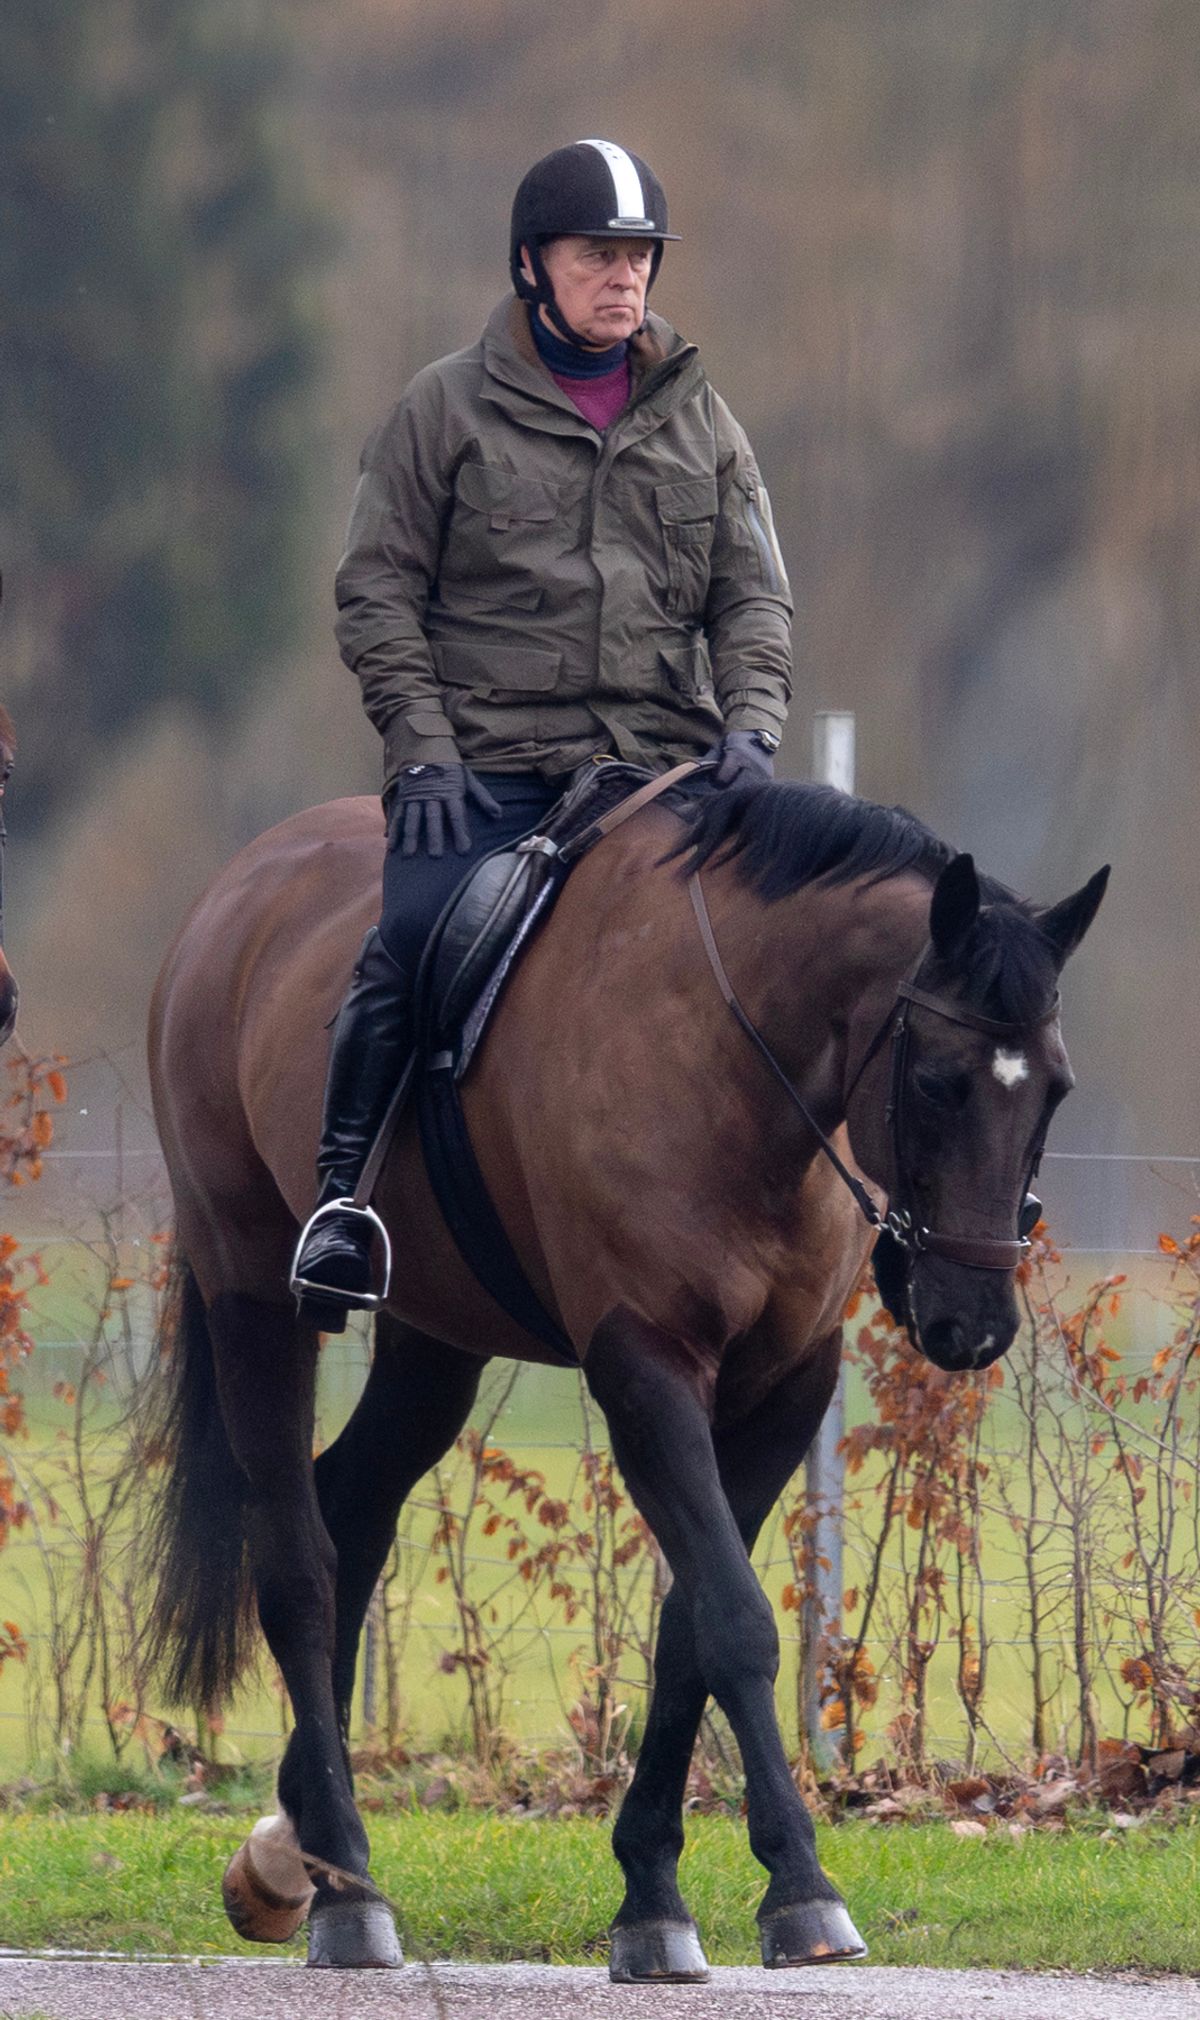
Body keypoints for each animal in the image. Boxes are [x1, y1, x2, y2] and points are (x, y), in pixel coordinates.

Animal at [146, 775, 1107, 1975]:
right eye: (936, 1082)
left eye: (1056, 1089)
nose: (973, 1324)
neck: (732, 1060)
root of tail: (234, 894)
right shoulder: (646, 1368)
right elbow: (736, 1620)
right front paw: (801, 1884)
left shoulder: (783, 1389)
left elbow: (687, 1631)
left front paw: (651, 1890)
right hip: (253, 1299)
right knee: (299, 1565)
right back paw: (347, 1893)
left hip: (433, 1345)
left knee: (350, 1508)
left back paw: (297, 1849)